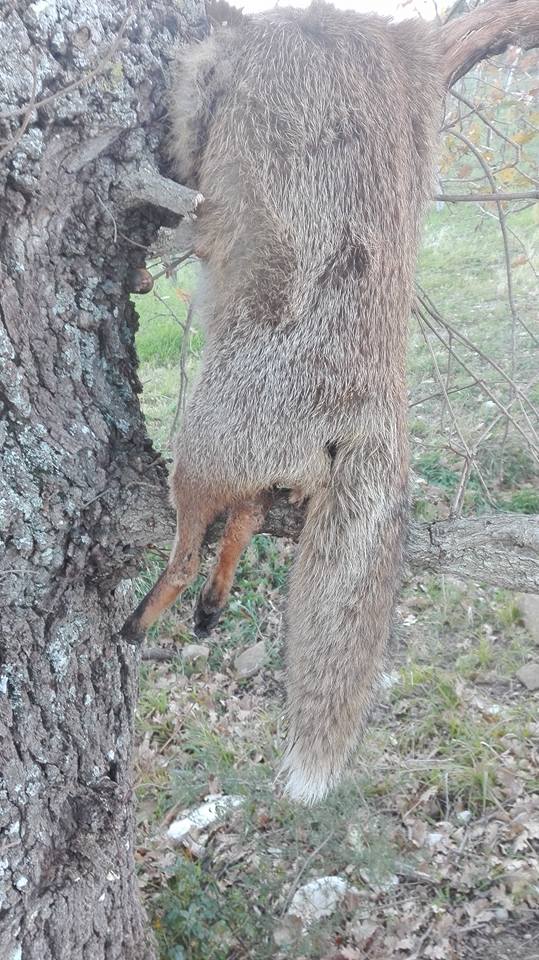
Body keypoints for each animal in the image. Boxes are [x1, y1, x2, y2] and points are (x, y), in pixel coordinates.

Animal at [123, 1, 442, 804]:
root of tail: (373, 396)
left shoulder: (208, 102)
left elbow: (183, 172)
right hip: (263, 474)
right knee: (244, 519)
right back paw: (212, 602)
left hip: (199, 451)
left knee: (189, 545)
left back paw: (146, 617)